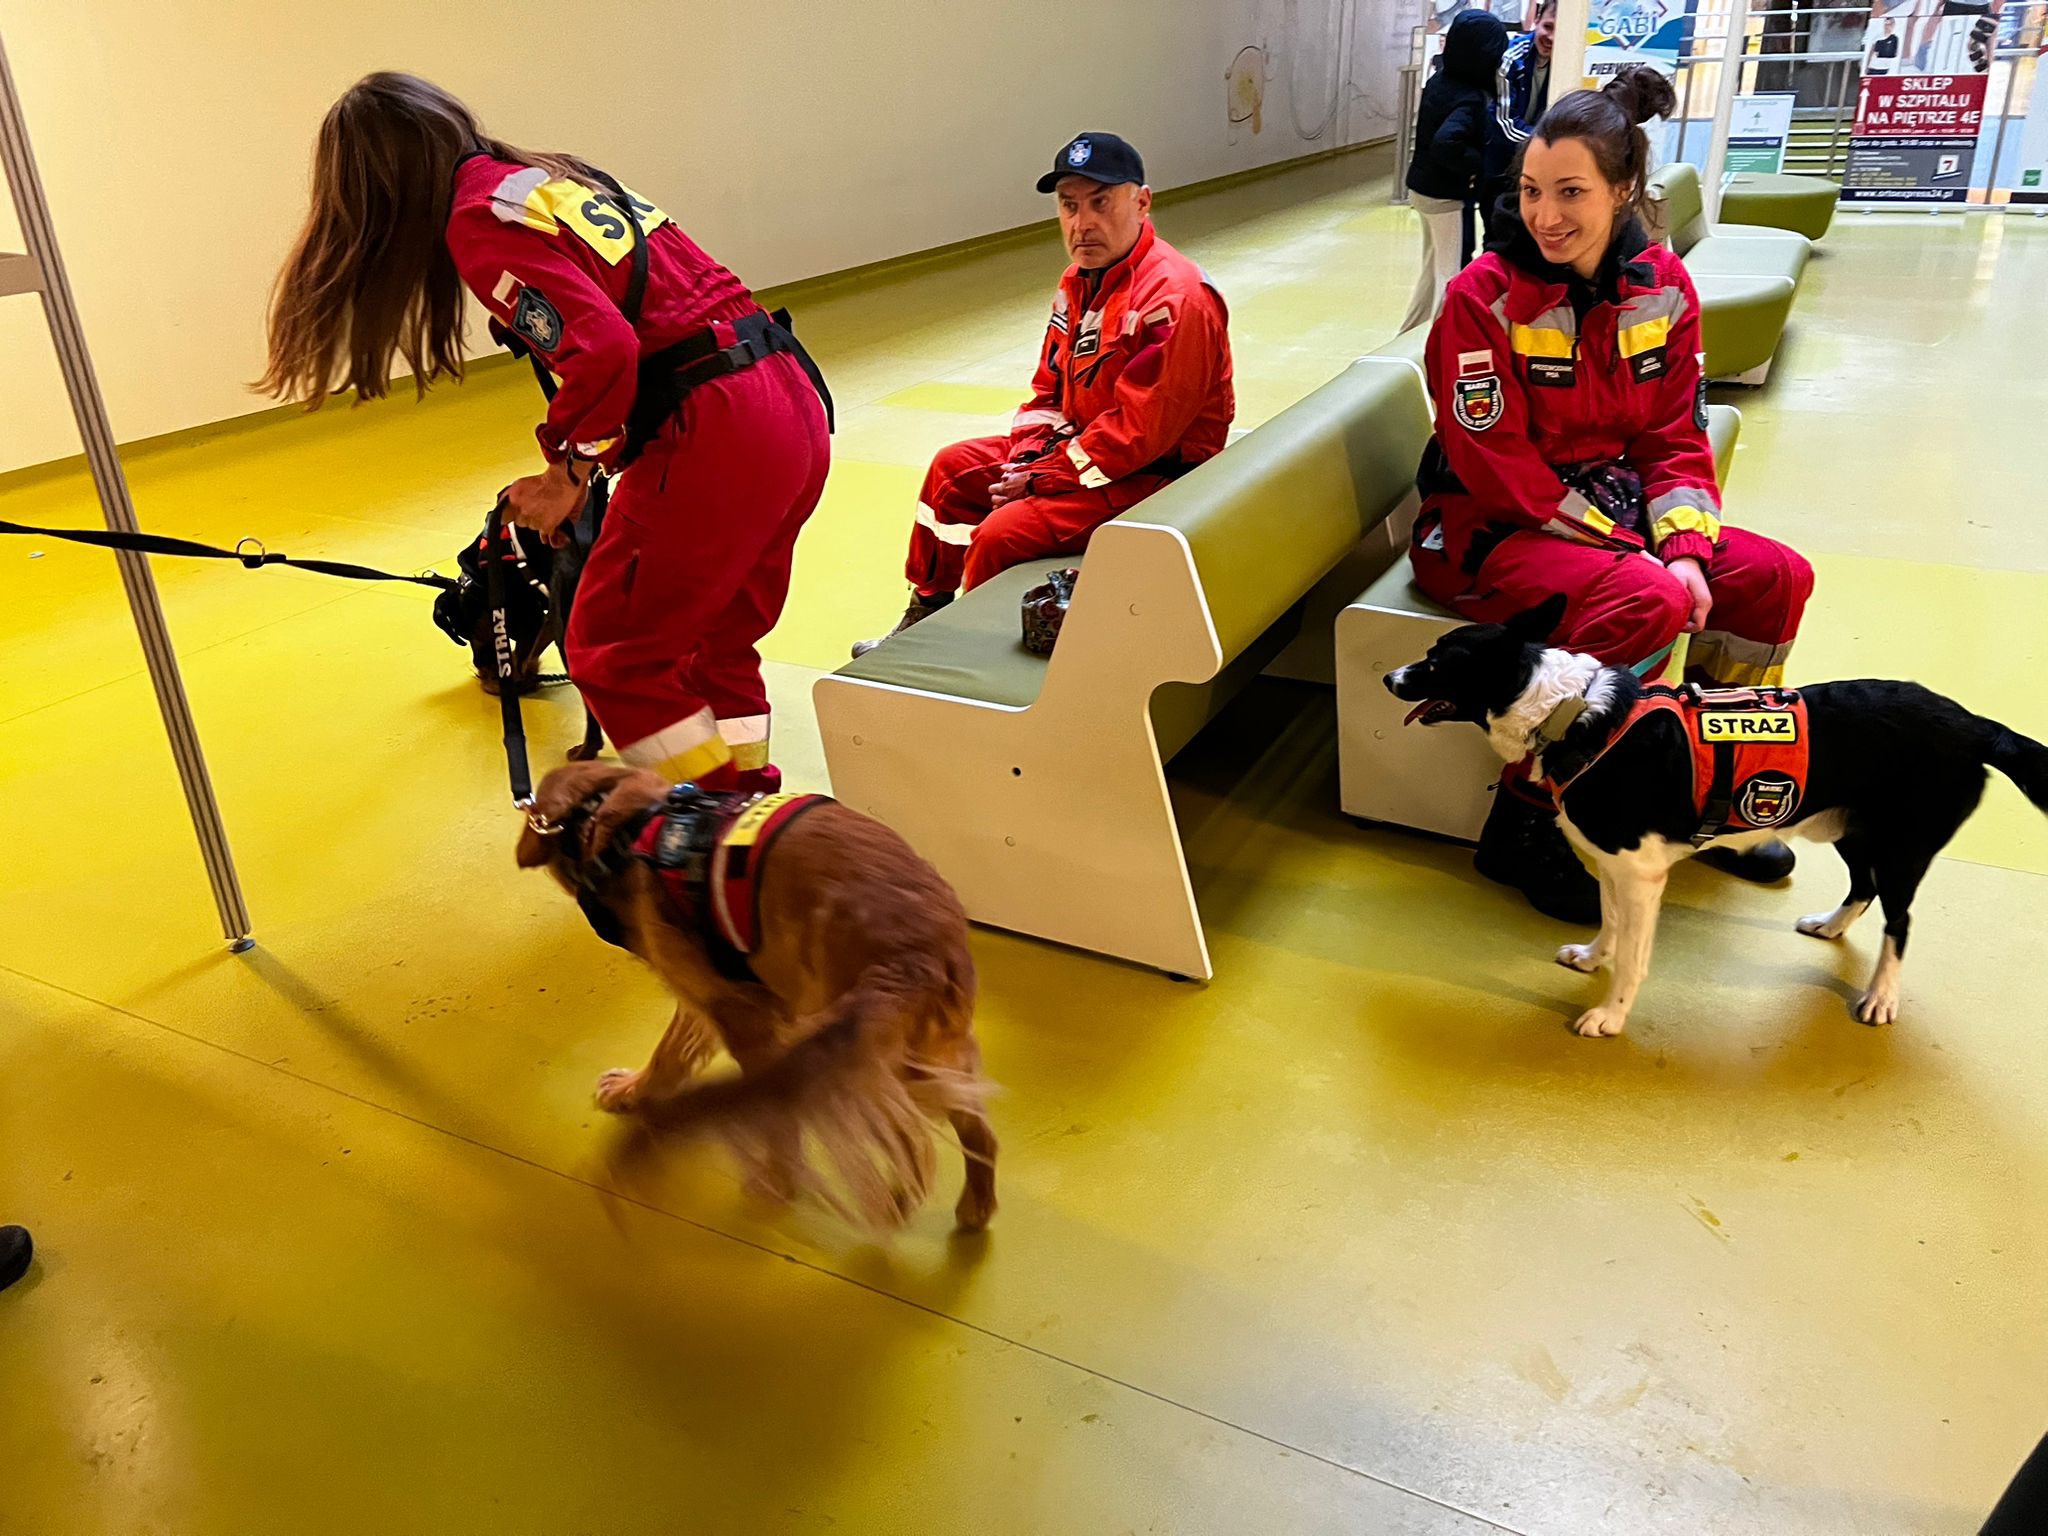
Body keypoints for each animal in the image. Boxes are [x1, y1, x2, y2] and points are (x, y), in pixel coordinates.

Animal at [516, 760, 997, 1231]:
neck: (621, 821)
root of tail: (914, 955)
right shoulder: (713, 998)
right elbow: (672, 1054)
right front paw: (636, 1090)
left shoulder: (739, 1013)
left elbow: (755, 1103)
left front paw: (777, 1179)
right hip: (923, 1053)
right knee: (970, 1127)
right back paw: (962, 1204)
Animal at [1386, 593, 2048, 1037]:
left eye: (1438, 662)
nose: (1390, 676)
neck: (1568, 711)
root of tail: (1975, 724)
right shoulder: (1614, 866)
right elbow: (1610, 923)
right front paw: (1594, 958)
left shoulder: (1643, 874)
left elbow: (1634, 956)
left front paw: (1610, 1014)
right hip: (1849, 827)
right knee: (1863, 890)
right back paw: (1831, 926)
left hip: (1902, 847)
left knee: (1900, 921)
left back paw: (1881, 997)